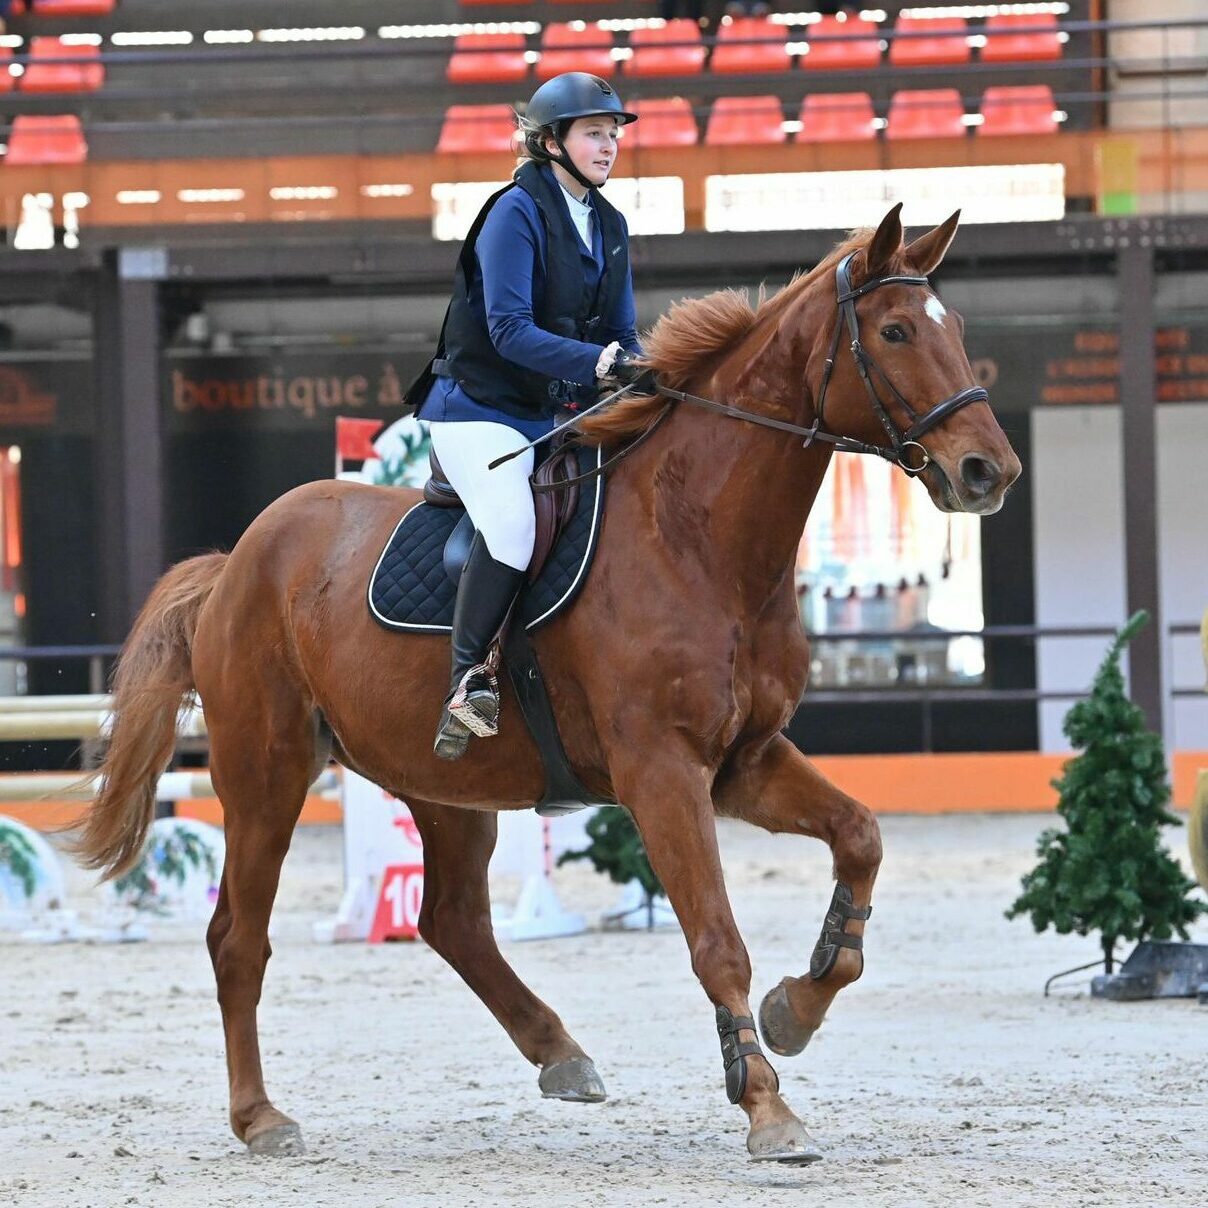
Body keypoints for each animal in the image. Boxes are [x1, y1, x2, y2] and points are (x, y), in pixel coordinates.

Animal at [70, 205, 1019, 1159]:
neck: (698, 537)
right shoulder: (660, 773)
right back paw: (261, 1117)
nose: (990, 472)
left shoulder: (741, 761)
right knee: (240, 938)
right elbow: (717, 940)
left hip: (442, 784)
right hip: (265, 773)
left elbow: (861, 838)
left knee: (453, 921)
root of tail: (235, 562)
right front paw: (766, 1105)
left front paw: (799, 1006)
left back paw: (561, 1054)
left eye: (956, 332)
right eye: (895, 332)